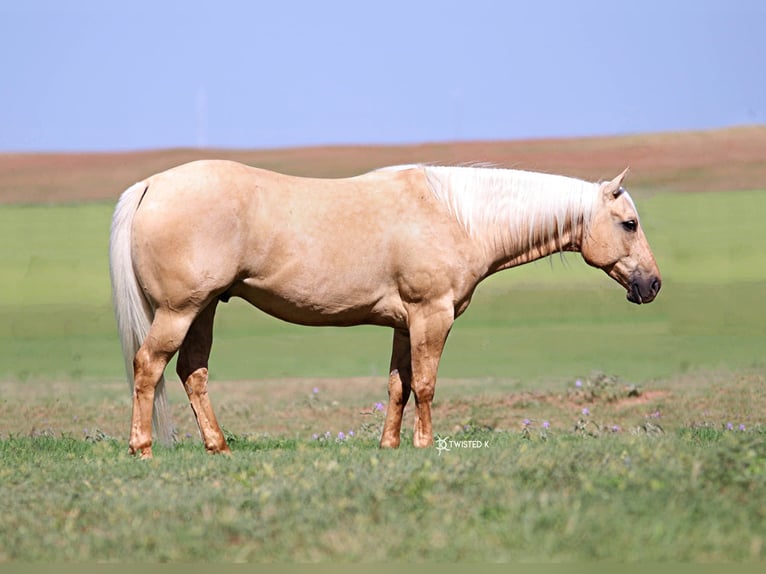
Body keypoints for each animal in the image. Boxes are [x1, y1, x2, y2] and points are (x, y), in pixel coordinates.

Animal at [111, 162, 664, 460]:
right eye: (630, 223)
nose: (653, 284)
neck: (456, 215)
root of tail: (151, 185)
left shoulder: (404, 323)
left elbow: (399, 384)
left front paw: (390, 446)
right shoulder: (431, 316)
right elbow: (426, 384)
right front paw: (424, 444)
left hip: (203, 310)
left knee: (192, 373)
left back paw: (219, 447)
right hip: (179, 311)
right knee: (149, 366)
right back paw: (142, 448)